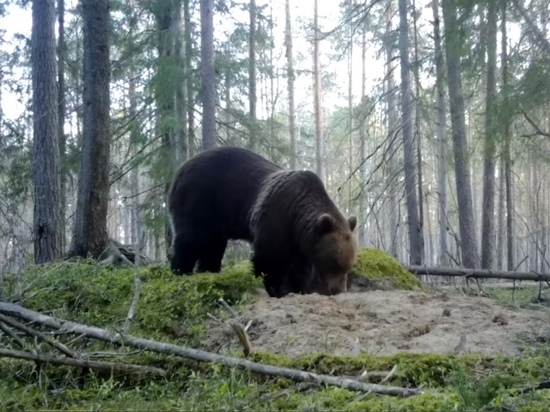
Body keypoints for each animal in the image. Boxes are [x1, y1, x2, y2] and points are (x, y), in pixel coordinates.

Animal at [166, 146, 360, 298]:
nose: (339, 290)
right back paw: (180, 271)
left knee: (213, 245)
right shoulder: (276, 217)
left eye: (349, 265)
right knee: (190, 239)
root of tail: (180, 169)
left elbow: (300, 269)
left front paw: (297, 288)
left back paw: (209, 271)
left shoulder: (300, 241)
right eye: (336, 263)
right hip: (199, 200)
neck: (297, 215)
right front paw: (275, 289)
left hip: (215, 218)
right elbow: (268, 259)